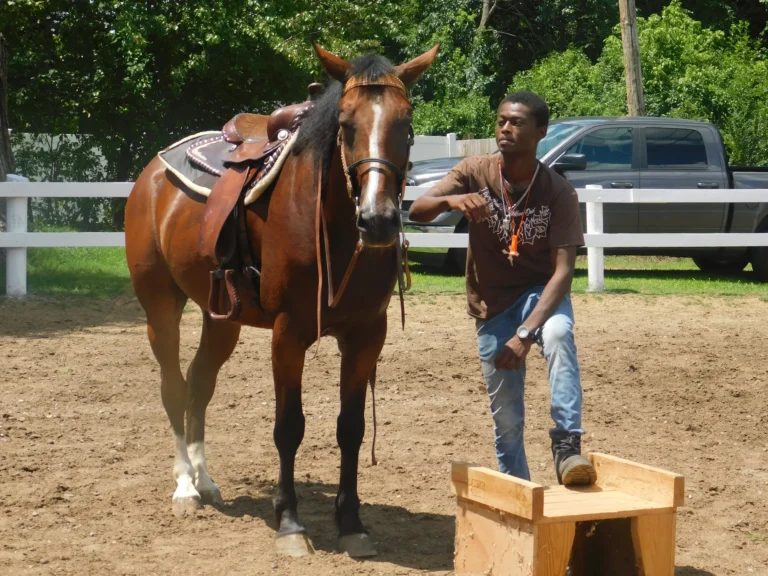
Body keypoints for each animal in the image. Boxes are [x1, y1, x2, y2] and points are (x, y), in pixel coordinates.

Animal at [124, 43, 439, 557]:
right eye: (345, 124)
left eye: (406, 124)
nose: (378, 220)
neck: (332, 227)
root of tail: (152, 173)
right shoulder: (288, 333)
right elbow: (289, 427)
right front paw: (290, 523)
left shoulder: (367, 335)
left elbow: (350, 428)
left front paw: (351, 522)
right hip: (160, 308)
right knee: (173, 386)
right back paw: (186, 487)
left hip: (222, 319)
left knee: (199, 384)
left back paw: (205, 481)